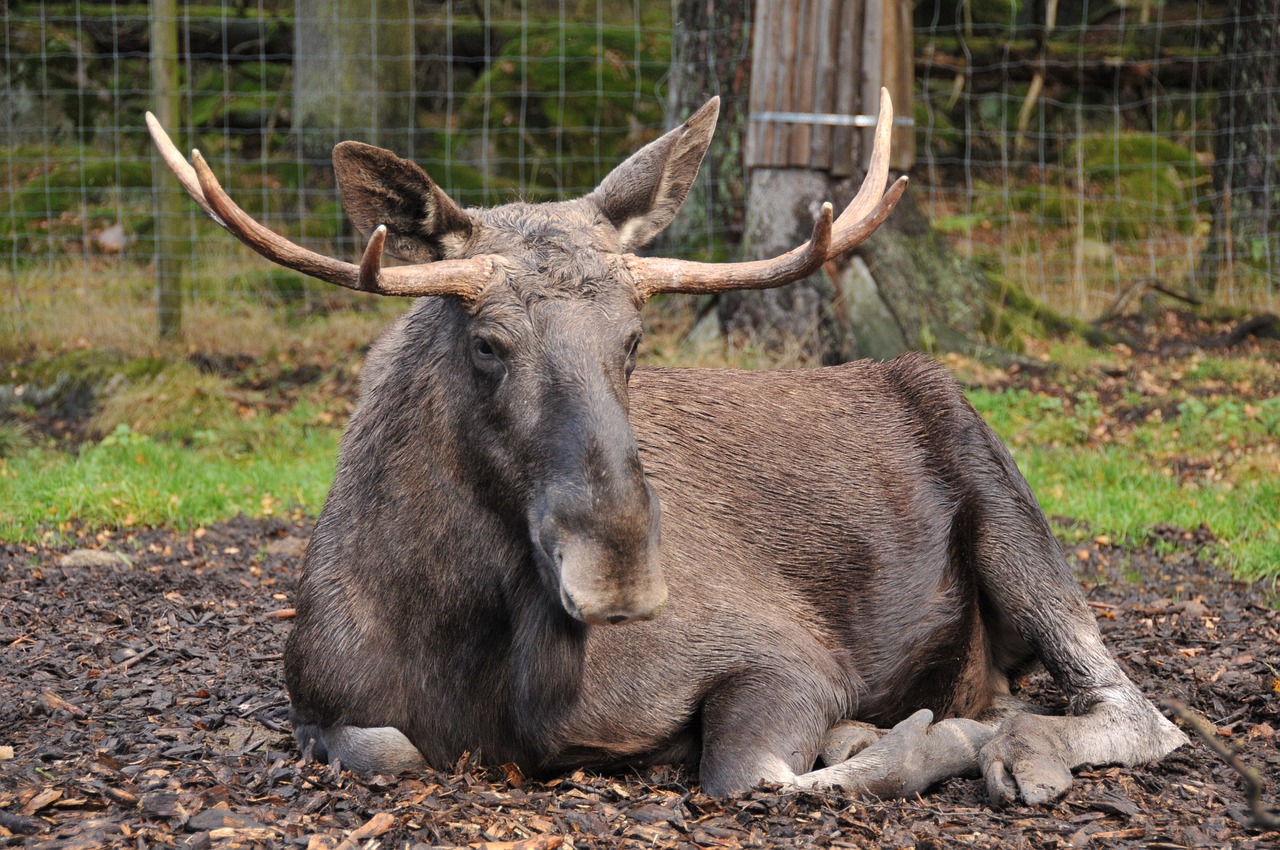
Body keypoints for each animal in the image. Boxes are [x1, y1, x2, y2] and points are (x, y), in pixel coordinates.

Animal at [152, 94, 1187, 803]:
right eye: (487, 342)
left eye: (635, 339)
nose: (620, 571)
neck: (468, 645)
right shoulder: (315, 701)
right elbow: (387, 749)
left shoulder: (791, 656)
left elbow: (752, 773)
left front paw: (921, 742)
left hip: (1006, 502)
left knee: (1137, 708)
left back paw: (1017, 746)